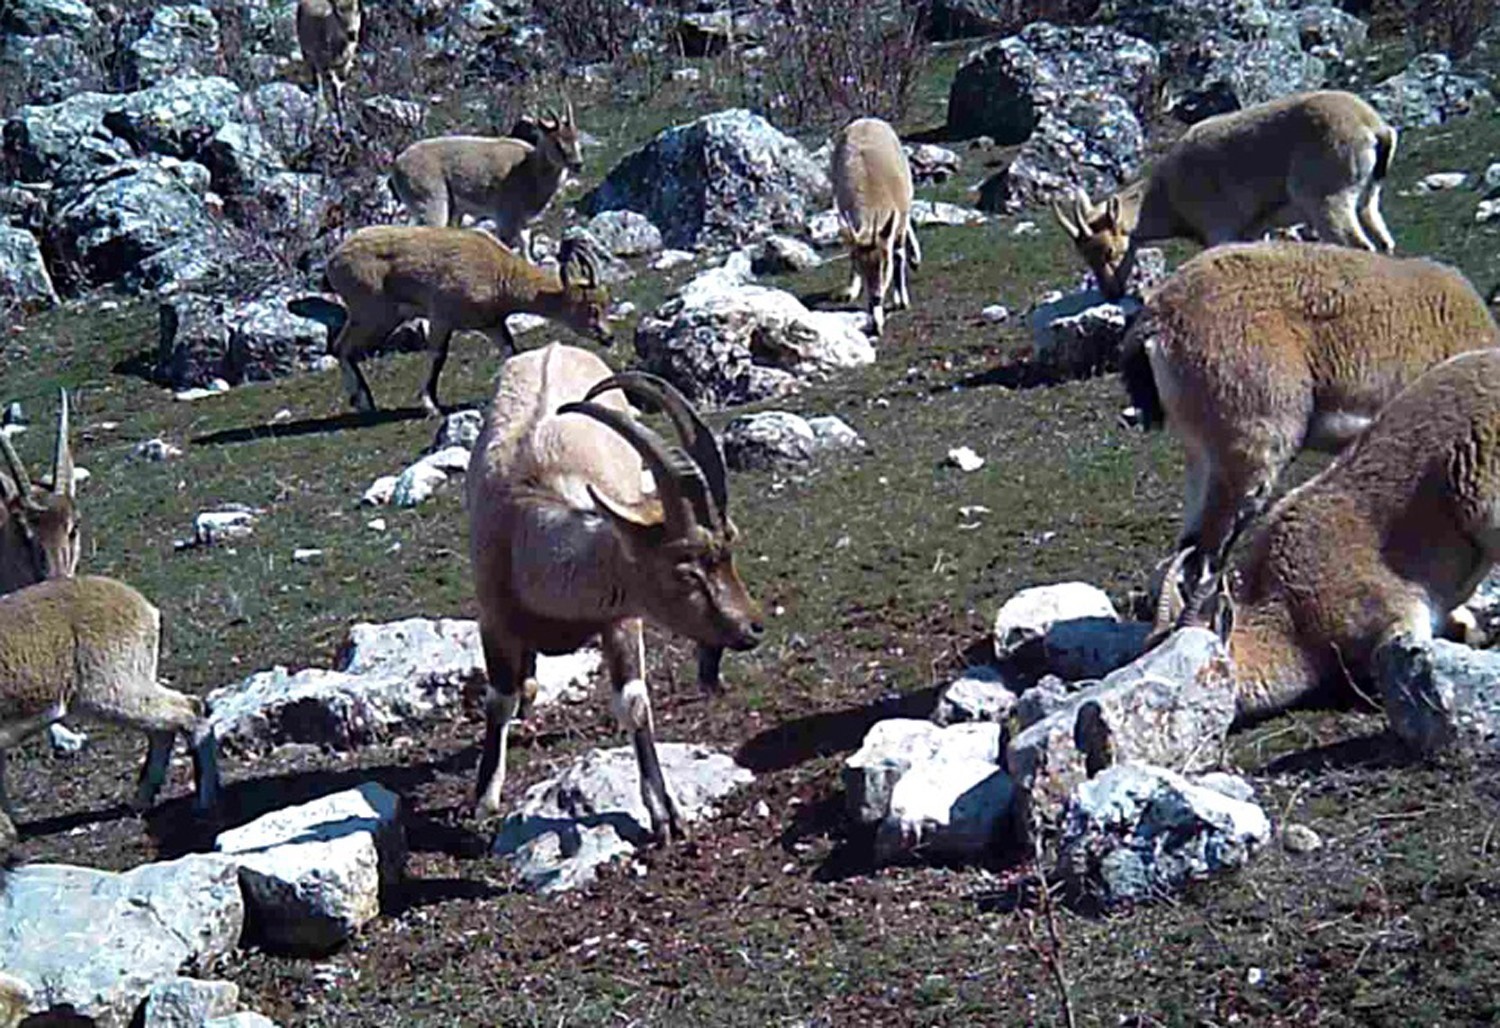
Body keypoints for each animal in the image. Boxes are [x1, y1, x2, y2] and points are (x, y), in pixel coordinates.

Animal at [295, 0, 360, 130]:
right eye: (337, 12)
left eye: (357, 9)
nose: (352, 34)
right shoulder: (322, 62)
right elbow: (335, 87)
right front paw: (341, 124)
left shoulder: (347, 63)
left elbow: (342, 85)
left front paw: (346, 109)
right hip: (304, 49)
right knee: (315, 75)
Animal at [295, 231, 612, 414]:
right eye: (591, 307)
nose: (608, 337)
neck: (500, 276)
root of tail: (334, 261)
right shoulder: (441, 317)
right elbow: (437, 355)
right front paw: (431, 405)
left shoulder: (491, 323)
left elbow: (510, 350)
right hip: (372, 312)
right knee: (342, 346)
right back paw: (362, 401)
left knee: (344, 348)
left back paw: (364, 401)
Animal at [468, 345, 768, 840]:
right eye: (685, 569)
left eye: (732, 545)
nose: (753, 627)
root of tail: (551, 347)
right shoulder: (492, 618)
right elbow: (498, 699)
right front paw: (483, 799)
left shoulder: (620, 617)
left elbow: (633, 701)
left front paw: (666, 813)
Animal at [1056, 89, 1392, 298]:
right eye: (1085, 256)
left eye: (1109, 250)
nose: (1111, 293)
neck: (1168, 195)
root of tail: (1374, 128)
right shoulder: (1254, 231)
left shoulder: (1221, 229)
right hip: (1367, 200)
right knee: (1384, 243)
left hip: (1327, 201)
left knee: (1358, 245)